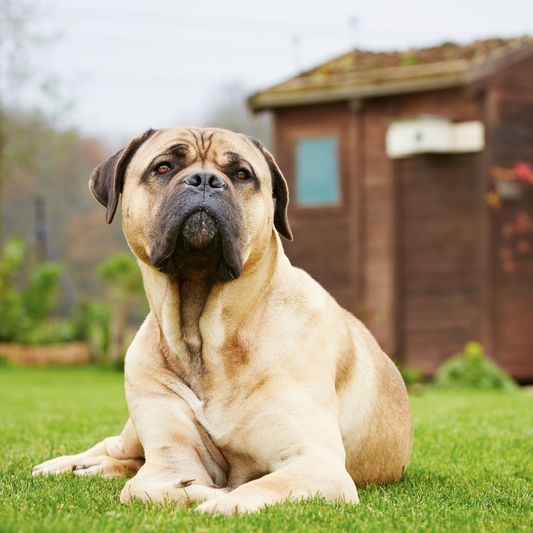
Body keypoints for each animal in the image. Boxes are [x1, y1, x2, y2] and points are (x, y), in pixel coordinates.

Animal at [32, 127, 412, 512]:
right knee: (116, 448)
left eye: (241, 174)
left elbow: (255, 489)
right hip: (133, 430)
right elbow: (141, 489)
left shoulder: (318, 463)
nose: (204, 180)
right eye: (163, 167)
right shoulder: (171, 457)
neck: (204, 338)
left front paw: (219, 500)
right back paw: (64, 465)